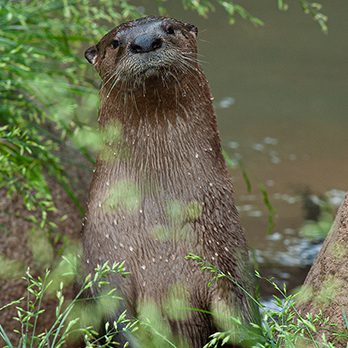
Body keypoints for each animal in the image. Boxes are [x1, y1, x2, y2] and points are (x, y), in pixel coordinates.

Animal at [82, 16, 258, 348]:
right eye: (115, 42)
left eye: (170, 29)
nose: (144, 42)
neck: (159, 224)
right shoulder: (105, 259)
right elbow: (114, 318)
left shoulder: (226, 256)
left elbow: (241, 317)